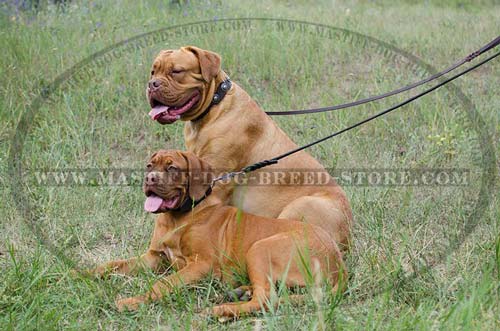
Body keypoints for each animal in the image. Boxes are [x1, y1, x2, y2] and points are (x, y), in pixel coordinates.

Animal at [92, 150, 346, 316]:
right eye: (149, 166)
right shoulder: (154, 257)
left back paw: (220, 310)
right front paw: (85, 273)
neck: (177, 217)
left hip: (260, 248)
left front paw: (134, 301)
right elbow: (114, 264)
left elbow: (164, 283)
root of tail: (338, 264)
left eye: (172, 168)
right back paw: (239, 292)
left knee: (265, 300)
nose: (150, 179)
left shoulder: (200, 264)